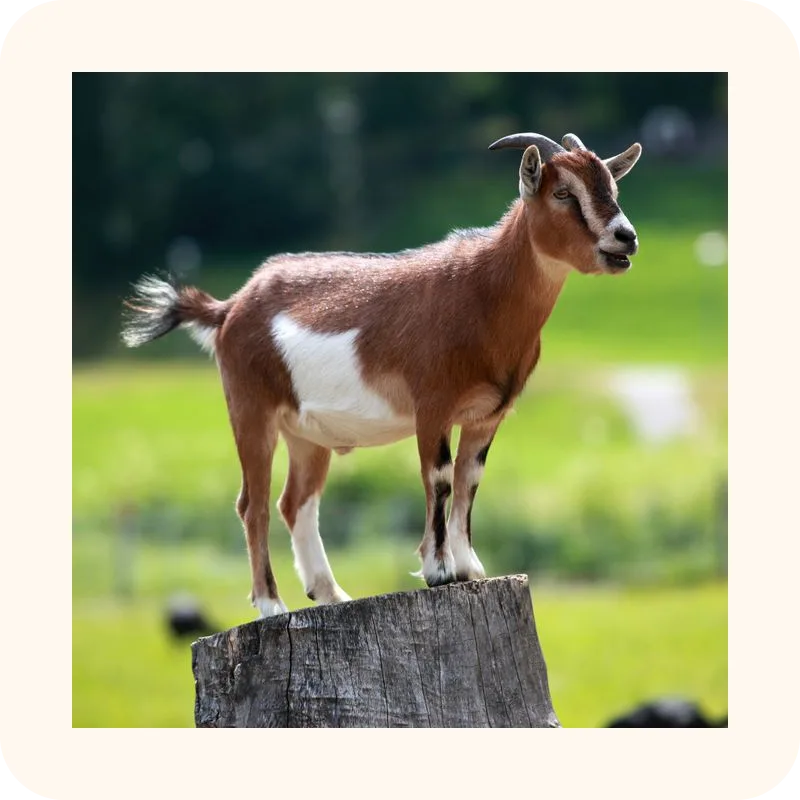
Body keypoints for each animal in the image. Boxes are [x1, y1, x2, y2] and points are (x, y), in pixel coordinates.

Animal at [121, 131, 642, 618]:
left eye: (612, 186)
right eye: (563, 193)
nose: (626, 237)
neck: (482, 293)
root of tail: (229, 308)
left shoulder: (487, 415)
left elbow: (470, 479)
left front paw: (470, 567)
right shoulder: (432, 405)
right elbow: (440, 477)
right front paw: (438, 571)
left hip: (305, 433)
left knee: (295, 501)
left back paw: (330, 593)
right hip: (251, 408)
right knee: (254, 503)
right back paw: (271, 604)